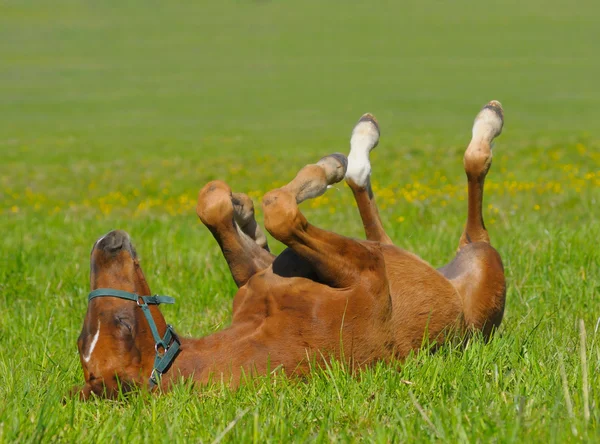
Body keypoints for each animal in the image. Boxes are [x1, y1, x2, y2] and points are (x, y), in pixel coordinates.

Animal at [74, 101, 506, 398]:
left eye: (83, 336)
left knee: (371, 211)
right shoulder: (368, 271)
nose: (108, 242)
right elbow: (280, 210)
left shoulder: (259, 277)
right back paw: (483, 123)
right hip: (483, 267)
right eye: (123, 326)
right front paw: (323, 171)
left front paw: (241, 210)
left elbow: (215, 204)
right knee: (471, 203)